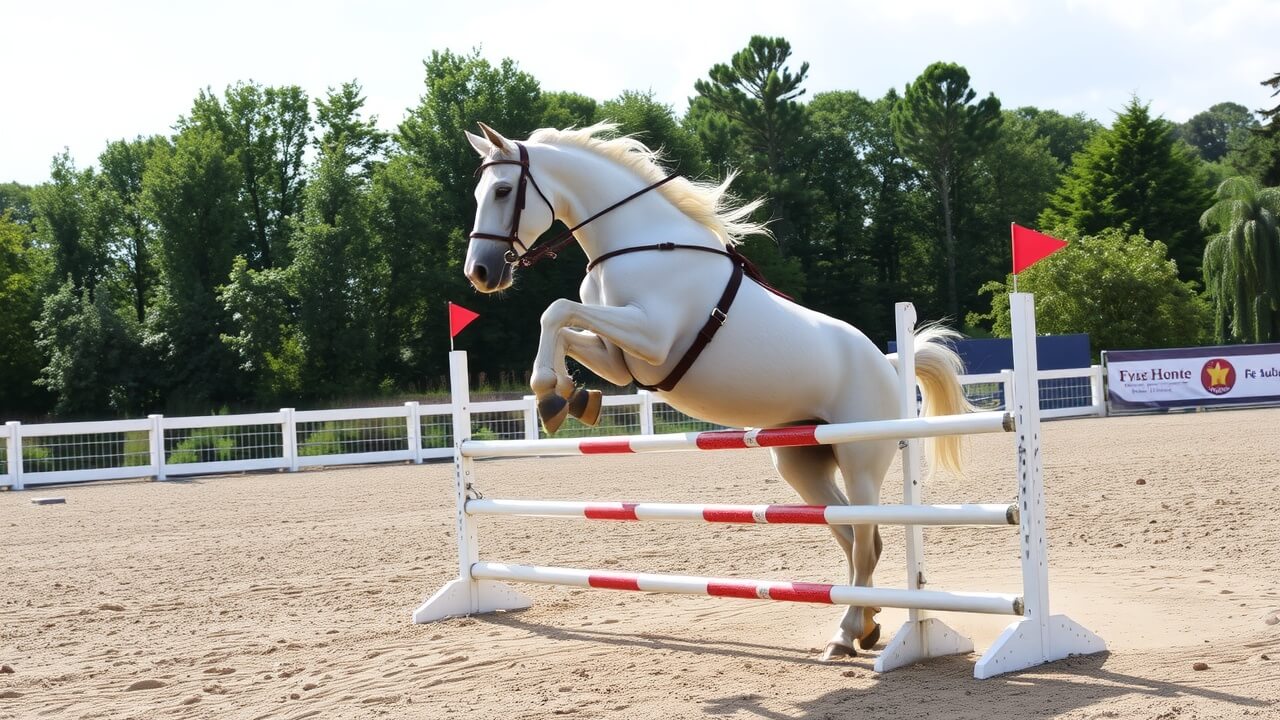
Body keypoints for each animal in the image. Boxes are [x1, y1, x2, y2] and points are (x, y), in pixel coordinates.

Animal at [461, 121, 973, 660]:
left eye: (502, 191)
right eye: (479, 192)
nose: (480, 273)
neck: (636, 243)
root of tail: (889, 364)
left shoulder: (652, 338)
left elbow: (555, 310)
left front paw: (552, 394)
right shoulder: (620, 360)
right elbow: (563, 326)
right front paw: (566, 397)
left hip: (861, 462)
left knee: (865, 541)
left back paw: (847, 631)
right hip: (801, 462)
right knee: (854, 537)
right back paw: (864, 626)